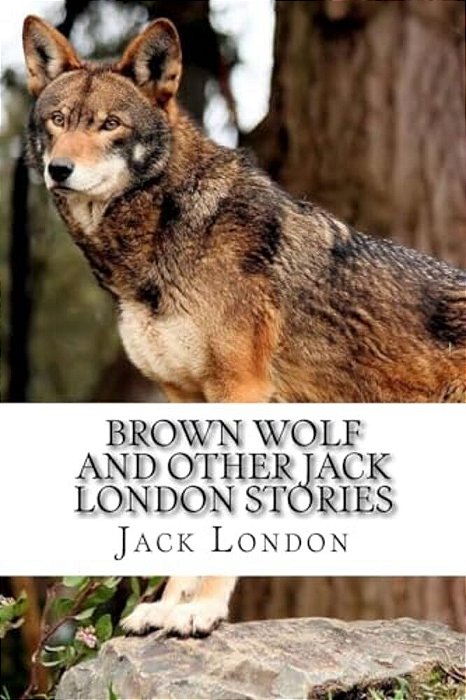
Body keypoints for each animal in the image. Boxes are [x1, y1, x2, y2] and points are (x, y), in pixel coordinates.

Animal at [23, 15, 465, 636]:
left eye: (110, 125)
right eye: (59, 121)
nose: (58, 169)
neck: (166, 231)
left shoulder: (241, 390)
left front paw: (202, 611)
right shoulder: (184, 398)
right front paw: (167, 609)